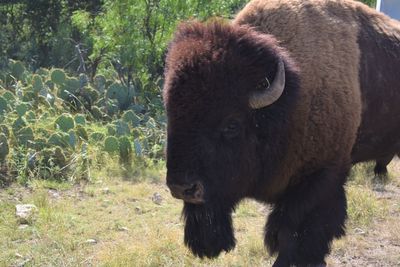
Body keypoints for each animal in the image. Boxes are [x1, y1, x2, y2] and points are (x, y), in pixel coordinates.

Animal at [163, 0, 400, 266]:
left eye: (231, 125)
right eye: (171, 116)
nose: (182, 188)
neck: (290, 100)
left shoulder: (321, 177)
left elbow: (291, 231)